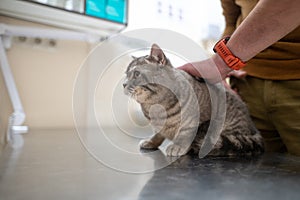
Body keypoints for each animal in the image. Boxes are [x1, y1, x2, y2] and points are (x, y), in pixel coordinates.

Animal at [123, 44, 264, 158]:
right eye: (126, 74)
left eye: (136, 74)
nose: (123, 84)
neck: (154, 106)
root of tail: (254, 131)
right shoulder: (159, 126)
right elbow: (158, 134)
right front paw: (152, 141)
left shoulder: (193, 122)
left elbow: (185, 134)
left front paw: (178, 146)